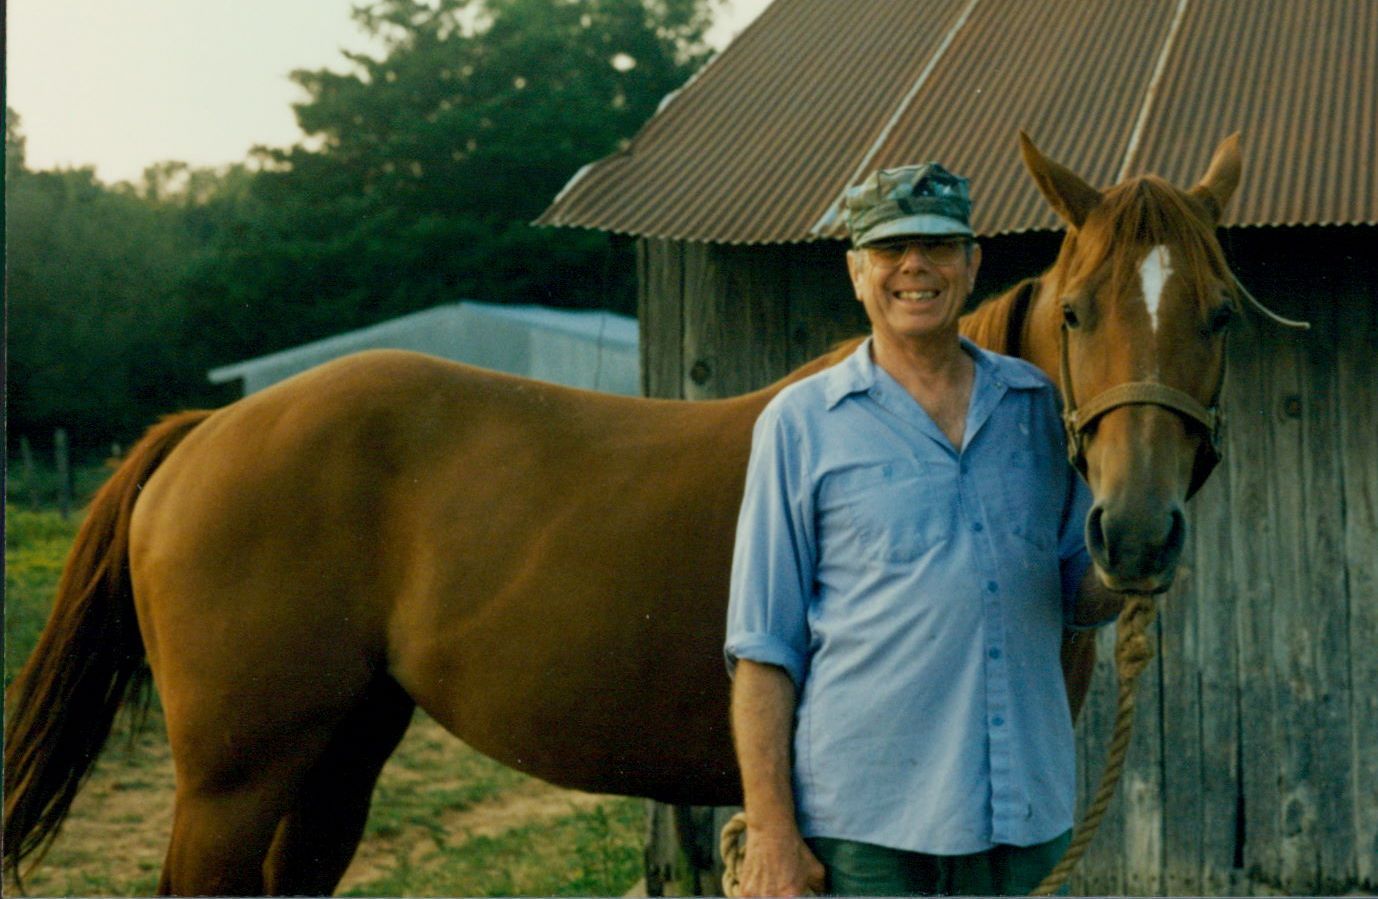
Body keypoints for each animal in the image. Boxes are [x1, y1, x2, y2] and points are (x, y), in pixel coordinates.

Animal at [3, 133, 1241, 895]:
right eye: (1076, 309)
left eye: (1220, 312)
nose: (1135, 532)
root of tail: (204, 431)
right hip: (232, 777)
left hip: (336, 754)